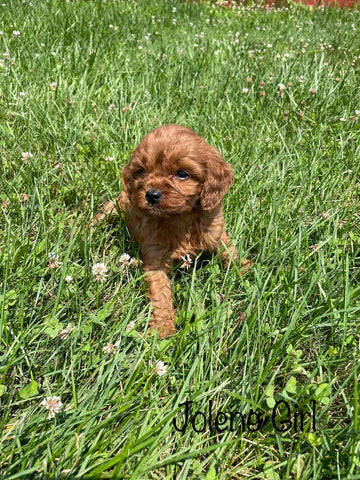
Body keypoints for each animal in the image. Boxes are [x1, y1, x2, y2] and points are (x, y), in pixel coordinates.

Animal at [93, 124, 240, 338]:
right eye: (141, 172)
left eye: (182, 174)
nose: (151, 194)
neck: (179, 218)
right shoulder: (155, 255)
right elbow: (160, 292)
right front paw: (163, 328)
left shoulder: (216, 233)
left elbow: (231, 252)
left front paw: (248, 271)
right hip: (114, 207)